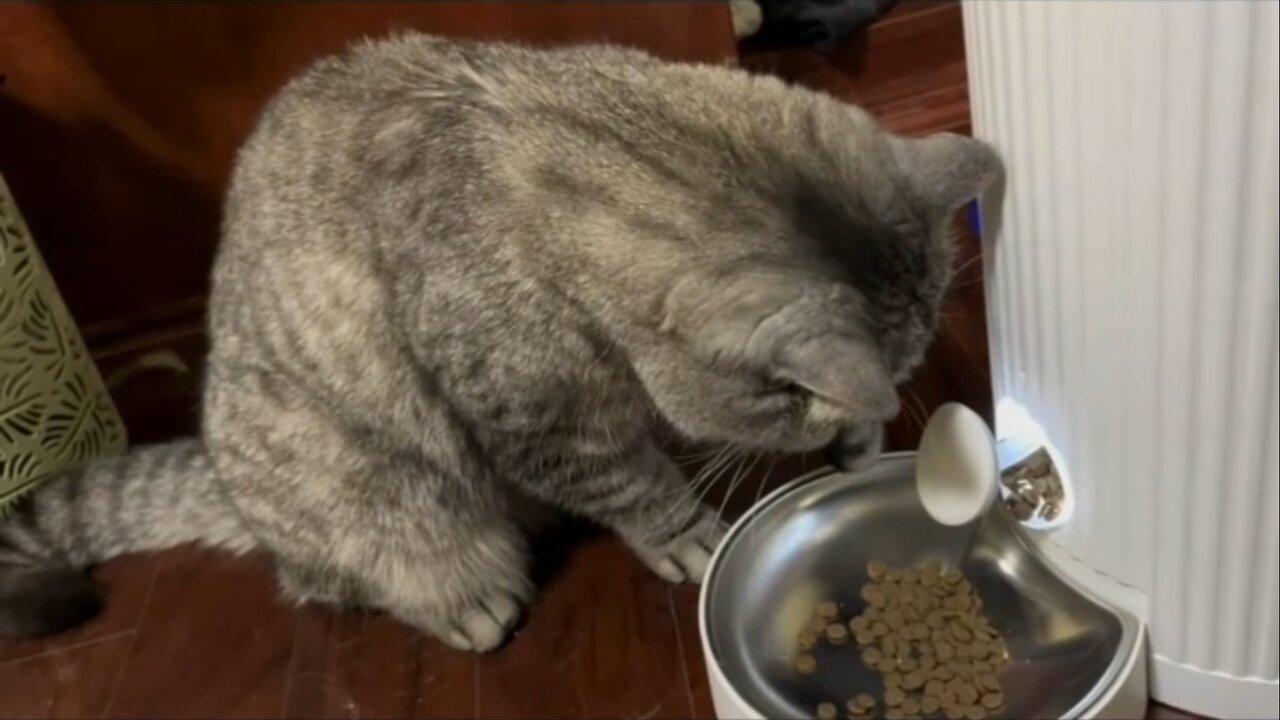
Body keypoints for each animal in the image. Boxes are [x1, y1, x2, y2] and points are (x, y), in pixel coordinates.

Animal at [0, 33, 998, 650]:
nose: (847, 427)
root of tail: (221, 472)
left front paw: (863, 437)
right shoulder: (541, 423)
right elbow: (636, 485)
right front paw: (687, 535)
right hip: (375, 489)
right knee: (344, 573)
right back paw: (466, 597)